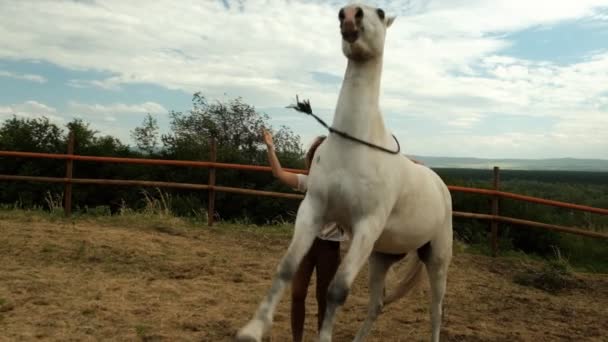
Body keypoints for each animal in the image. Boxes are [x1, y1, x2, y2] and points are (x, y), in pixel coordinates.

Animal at [236, 3, 452, 342]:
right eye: (344, 12)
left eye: (380, 12)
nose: (350, 15)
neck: (354, 146)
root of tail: (440, 185)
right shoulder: (313, 210)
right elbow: (287, 268)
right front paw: (254, 329)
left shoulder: (366, 226)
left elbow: (337, 291)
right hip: (381, 257)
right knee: (377, 305)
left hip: (437, 257)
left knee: (436, 310)